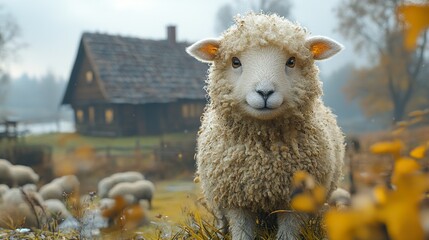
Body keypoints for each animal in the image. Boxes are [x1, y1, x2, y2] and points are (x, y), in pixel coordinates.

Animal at [186, 12, 344, 238]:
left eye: (291, 61)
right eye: (235, 62)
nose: (265, 92)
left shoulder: (295, 200)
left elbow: (288, 233)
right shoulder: (236, 199)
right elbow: (241, 232)